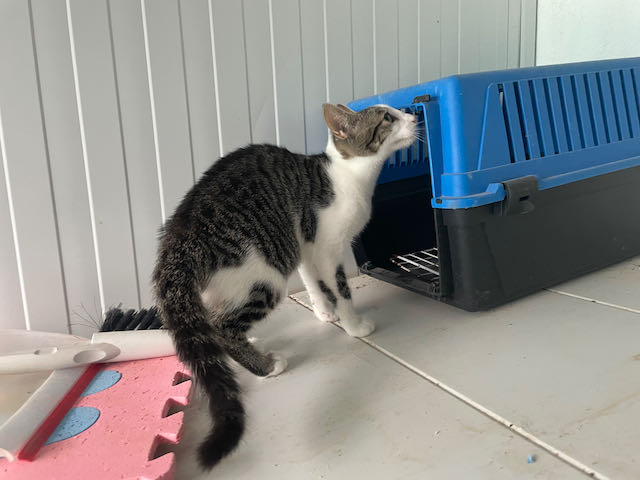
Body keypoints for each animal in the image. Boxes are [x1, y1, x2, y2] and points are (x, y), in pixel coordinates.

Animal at [152, 103, 416, 469]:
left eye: (397, 112)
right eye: (387, 118)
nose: (414, 115)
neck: (349, 176)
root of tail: (178, 237)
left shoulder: (304, 245)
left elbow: (314, 283)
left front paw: (325, 313)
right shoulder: (329, 247)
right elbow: (341, 288)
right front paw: (354, 325)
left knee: (215, 321)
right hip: (265, 270)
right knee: (222, 326)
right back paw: (265, 365)